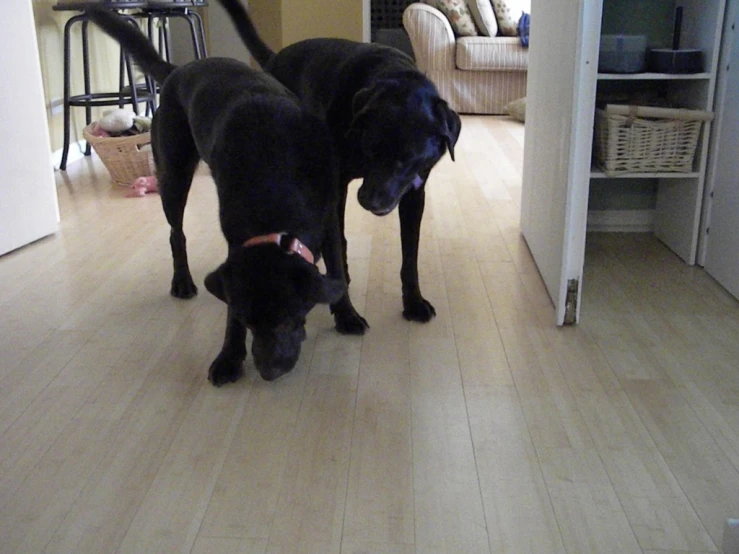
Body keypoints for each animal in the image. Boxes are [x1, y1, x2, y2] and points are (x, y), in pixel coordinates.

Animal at [88, 8, 354, 382]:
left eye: (289, 319)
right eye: (248, 321)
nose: (268, 372)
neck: (275, 190)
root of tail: (178, 70)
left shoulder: (327, 217)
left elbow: (337, 269)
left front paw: (348, 316)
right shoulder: (235, 240)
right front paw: (229, 356)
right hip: (173, 173)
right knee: (176, 234)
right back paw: (182, 281)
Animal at [214, 0, 462, 326]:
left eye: (409, 159)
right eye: (370, 148)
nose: (369, 201)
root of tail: (275, 58)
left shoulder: (413, 195)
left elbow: (410, 256)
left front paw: (414, 303)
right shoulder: (335, 192)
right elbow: (336, 249)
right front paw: (346, 315)